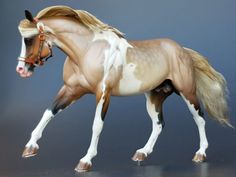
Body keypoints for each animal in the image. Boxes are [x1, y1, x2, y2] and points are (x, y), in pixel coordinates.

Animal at [16, 5, 230, 173]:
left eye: (30, 39)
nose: (21, 70)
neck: (87, 51)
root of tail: (182, 50)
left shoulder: (103, 93)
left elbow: (96, 125)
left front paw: (85, 161)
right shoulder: (71, 90)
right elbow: (48, 112)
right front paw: (30, 148)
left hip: (187, 92)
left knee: (199, 118)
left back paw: (200, 154)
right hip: (154, 97)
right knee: (158, 124)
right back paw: (141, 153)